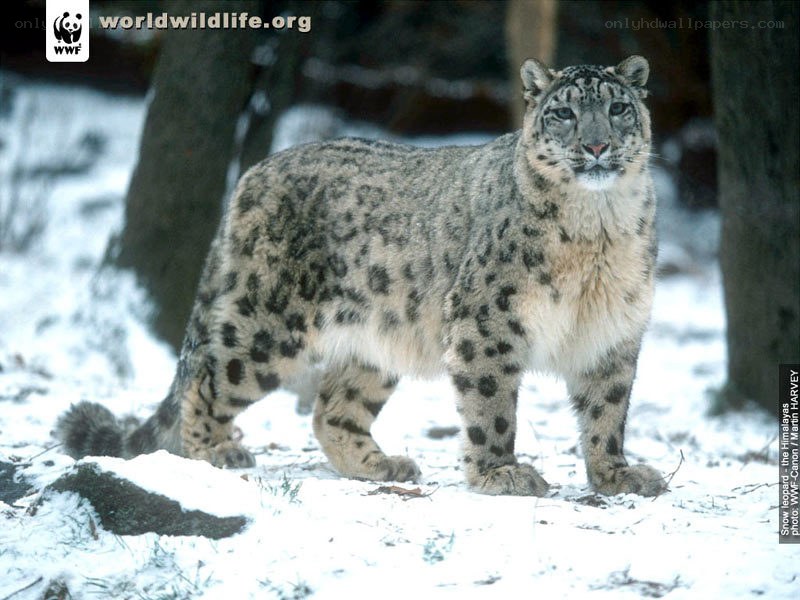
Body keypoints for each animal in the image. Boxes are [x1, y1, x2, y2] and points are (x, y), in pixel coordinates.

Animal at [57, 56, 666, 497]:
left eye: (618, 107)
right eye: (564, 114)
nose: (596, 145)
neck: (598, 230)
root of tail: (254, 172)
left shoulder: (615, 330)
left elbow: (608, 410)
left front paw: (617, 475)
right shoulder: (488, 322)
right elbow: (491, 405)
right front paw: (501, 473)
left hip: (375, 341)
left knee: (333, 408)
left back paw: (381, 465)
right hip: (265, 326)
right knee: (208, 380)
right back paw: (216, 450)